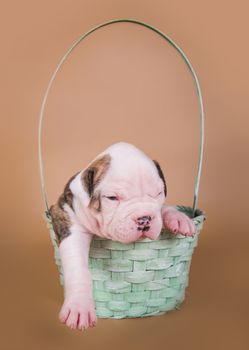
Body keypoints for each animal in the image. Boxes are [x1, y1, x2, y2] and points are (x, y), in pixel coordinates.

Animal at [49, 141, 196, 330]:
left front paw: (179, 218)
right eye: (112, 198)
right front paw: (79, 306)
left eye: (158, 193)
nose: (144, 218)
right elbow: (78, 270)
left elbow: (163, 208)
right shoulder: (69, 223)